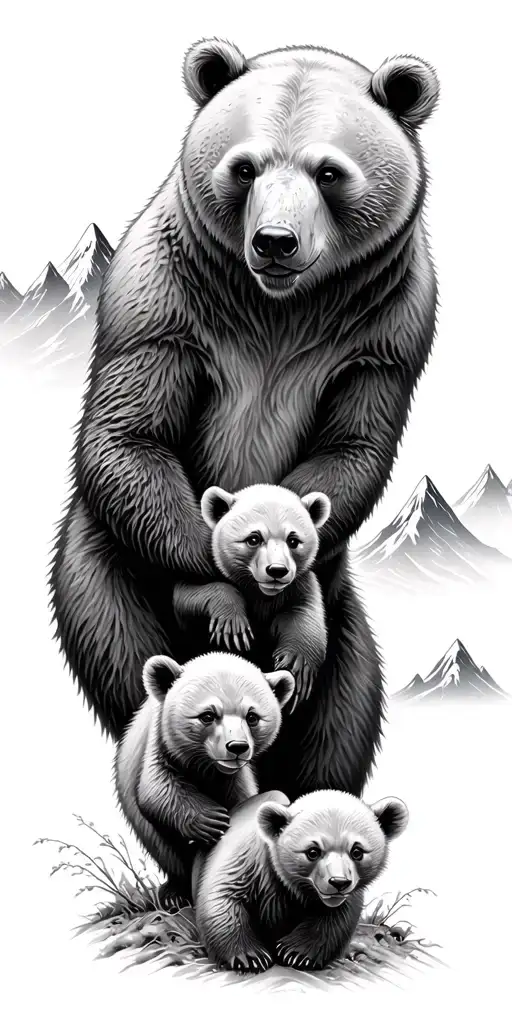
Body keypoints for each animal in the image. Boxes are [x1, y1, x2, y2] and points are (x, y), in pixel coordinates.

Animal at [115, 651, 294, 905]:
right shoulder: (159, 745)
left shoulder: (236, 779)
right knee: (166, 849)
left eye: (252, 716)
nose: (237, 747)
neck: (207, 767)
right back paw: (175, 892)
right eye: (208, 715)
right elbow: (156, 789)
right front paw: (210, 820)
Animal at [173, 484, 331, 708]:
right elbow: (185, 596)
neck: (261, 592)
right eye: (254, 538)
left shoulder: (300, 585)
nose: (277, 570)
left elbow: (305, 616)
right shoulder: (199, 564)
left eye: (293, 540)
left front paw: (296, 666)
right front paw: (233, 626)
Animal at [193, 788, 409, 973]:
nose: (338, 883)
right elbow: (224, 897)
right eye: (312, 851)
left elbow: (336, 917)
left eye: (357, 851)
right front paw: (250, 957)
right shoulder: (251, 863)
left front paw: (295, 952)